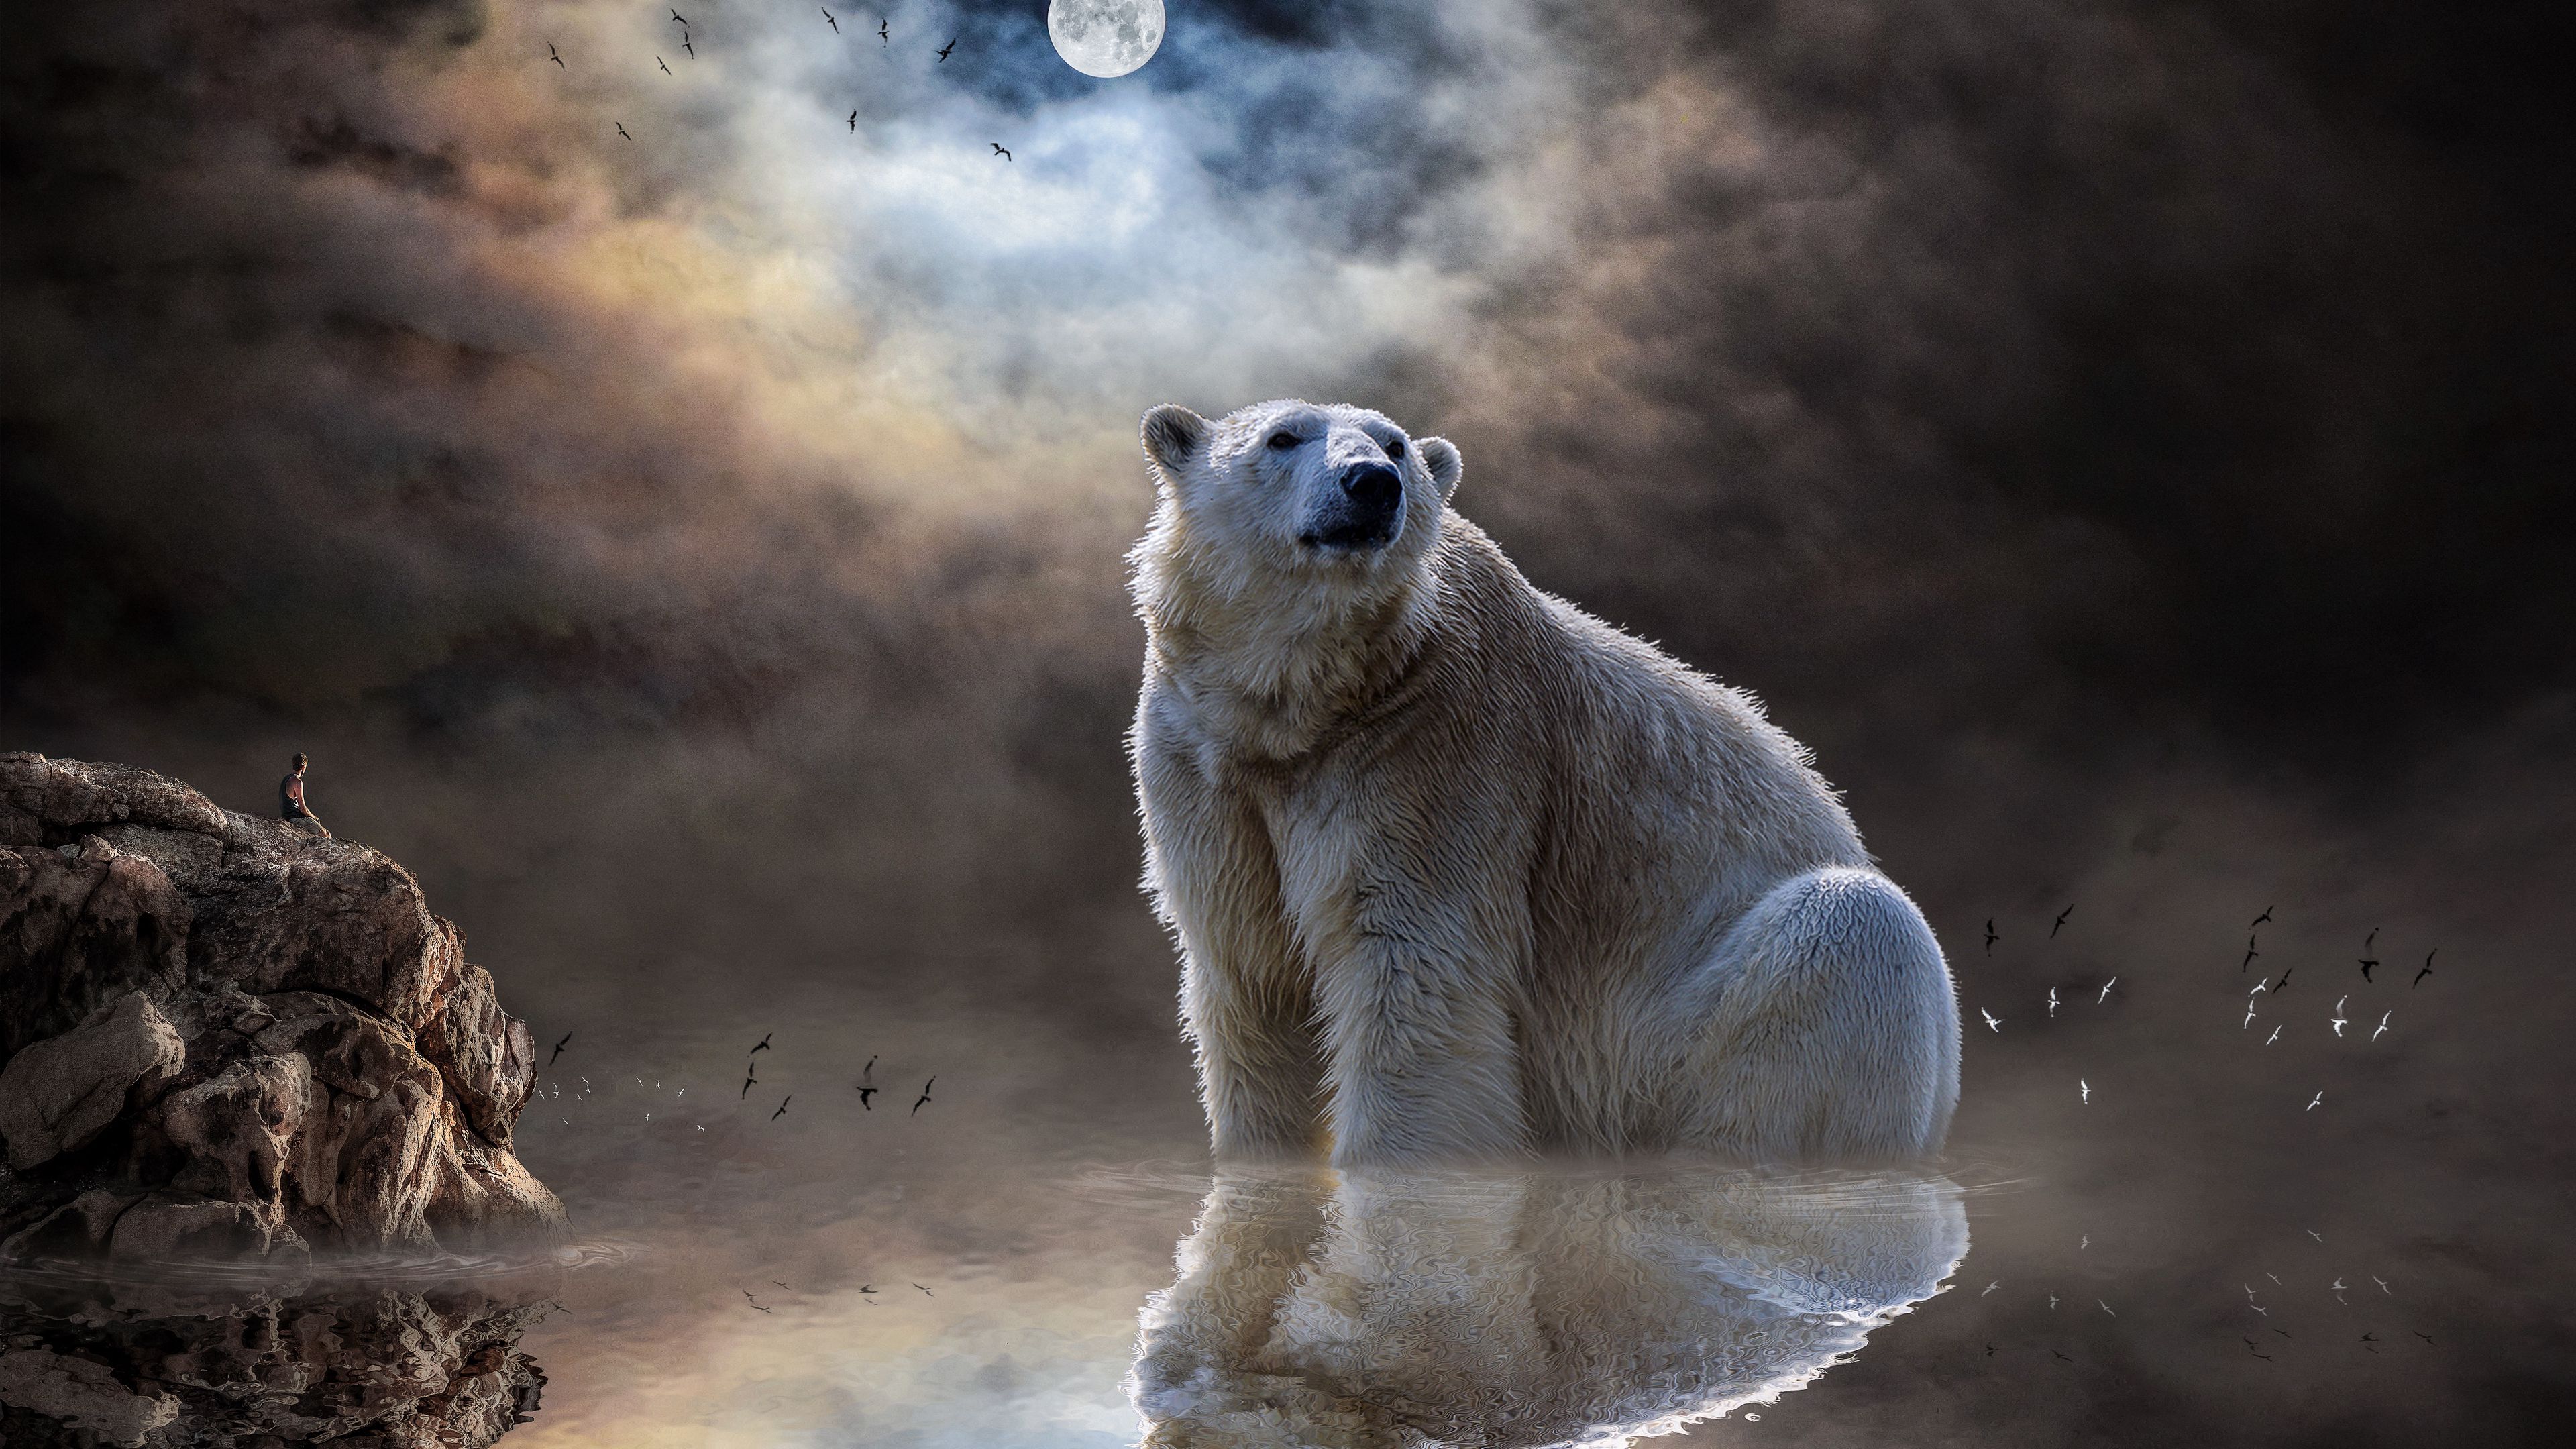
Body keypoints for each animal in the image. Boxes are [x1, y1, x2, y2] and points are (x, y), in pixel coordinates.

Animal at [1128, 398, 1958, 1167]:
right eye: (1283, 437)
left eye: (1395, 445)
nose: (1371, 484)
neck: (1305, 708)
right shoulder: (1201, 761)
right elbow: (1250, 972)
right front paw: (1259, 1157)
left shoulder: (1436, 750)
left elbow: (1415, 972)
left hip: (1667, 1042)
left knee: (1855, 928)